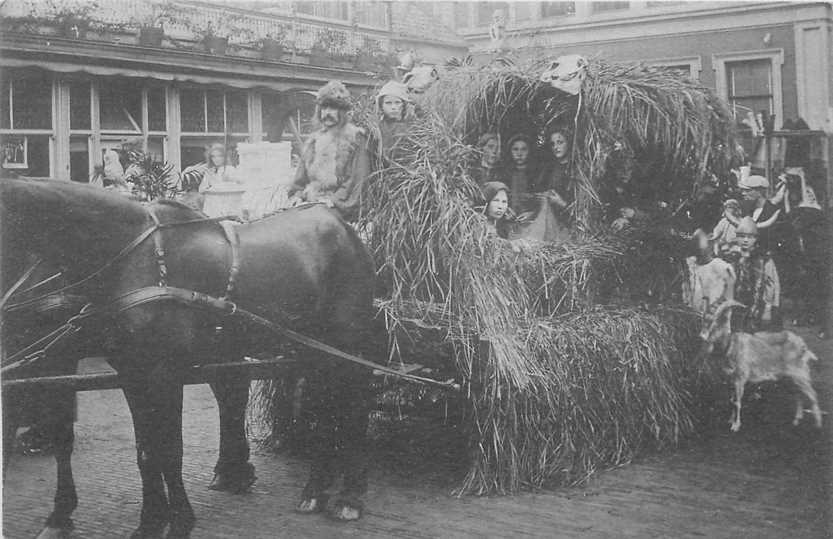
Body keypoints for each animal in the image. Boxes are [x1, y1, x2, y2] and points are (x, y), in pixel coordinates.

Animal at [0, 179, 376, 536]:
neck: (134, 259)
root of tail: (340, 225)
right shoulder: (132, 375)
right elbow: (146, 451)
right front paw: (150, 522)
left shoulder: (164, 374)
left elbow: (169, 450)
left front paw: (180, 521)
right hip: (314, 351)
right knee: (324, 410)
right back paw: (314, 490)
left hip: (349, 345)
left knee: (354, 410)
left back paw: (349, 498)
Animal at [700, 302, 824, 432]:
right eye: (704, 321)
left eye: (716, 322)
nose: (702, 336)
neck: (730, 346)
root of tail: (804, 347)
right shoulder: (731, 380)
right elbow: (732, 400)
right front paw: (730, 420)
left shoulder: (740, 379)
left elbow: (737, 402)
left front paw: (736, 425)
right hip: (790, 378)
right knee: (798, 394)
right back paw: (796, 420)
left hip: (800, 374)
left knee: (812, 395)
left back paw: (818, 425)